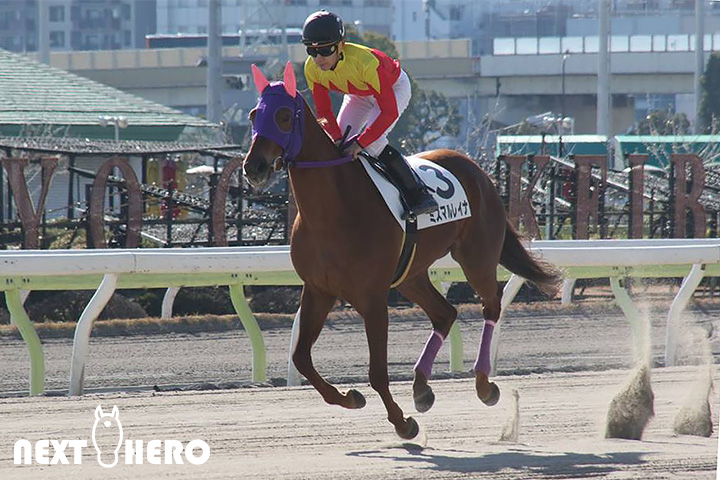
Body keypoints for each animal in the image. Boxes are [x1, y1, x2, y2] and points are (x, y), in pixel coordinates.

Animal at [243, 62, 561, 439]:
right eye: (253, 115)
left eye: (282, 116)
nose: (254, 167)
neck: (334, 210)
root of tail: (476, 169)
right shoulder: (318, 289)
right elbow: (301, 358)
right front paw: (350, 398)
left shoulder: (372, 298)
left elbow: (377, 372)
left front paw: (402, 422)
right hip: (411, 274)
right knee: (445, 314)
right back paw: (421, 388)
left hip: (477, 256)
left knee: (491, 306)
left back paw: (484, 384)